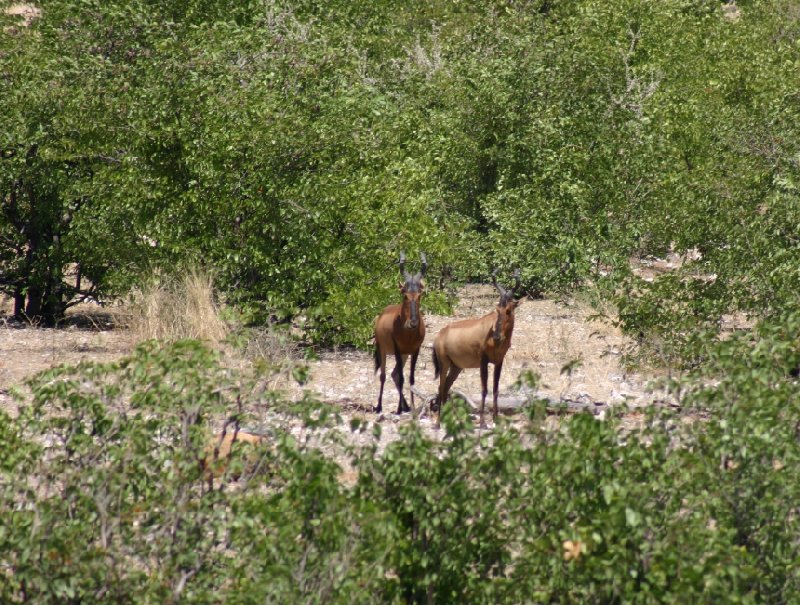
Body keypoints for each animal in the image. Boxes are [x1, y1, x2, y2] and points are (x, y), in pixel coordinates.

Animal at [374, 251, 424, 416]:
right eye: (405, 294)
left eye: (420, 294)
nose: (413, 323)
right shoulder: (396, 349)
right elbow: (402, 378)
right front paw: (398, 410)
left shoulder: (415, 350)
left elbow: (411, 379)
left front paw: (412, 407)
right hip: (383, 350)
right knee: (383, 375)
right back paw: (379, 407)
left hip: (404, 355)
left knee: (394, 374)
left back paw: (406, 406)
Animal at [434, 268, 520, 430]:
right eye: (497, 309)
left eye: (508, 310)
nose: (497, 336)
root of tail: (440, 334)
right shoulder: (483, 361)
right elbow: (484, 389)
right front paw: (483, 423)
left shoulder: (499, 361)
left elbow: (495, 389)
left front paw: (496, 420)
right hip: (444, 363)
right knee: (441, 388)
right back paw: (437, 423)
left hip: (456, 367)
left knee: (447, 387)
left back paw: (451, 421)